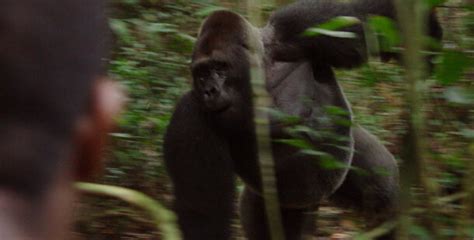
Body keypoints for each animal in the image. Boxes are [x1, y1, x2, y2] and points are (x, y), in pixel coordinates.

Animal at [162, 0, 440, 240]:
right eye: (201, 73)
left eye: (220, 67)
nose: (209, 90)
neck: (260, 72)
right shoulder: (190, 112)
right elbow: (202, 211)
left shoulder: (294, 26)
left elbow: (368, 18)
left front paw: (428, 38)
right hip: (274, 201)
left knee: (382, 190)